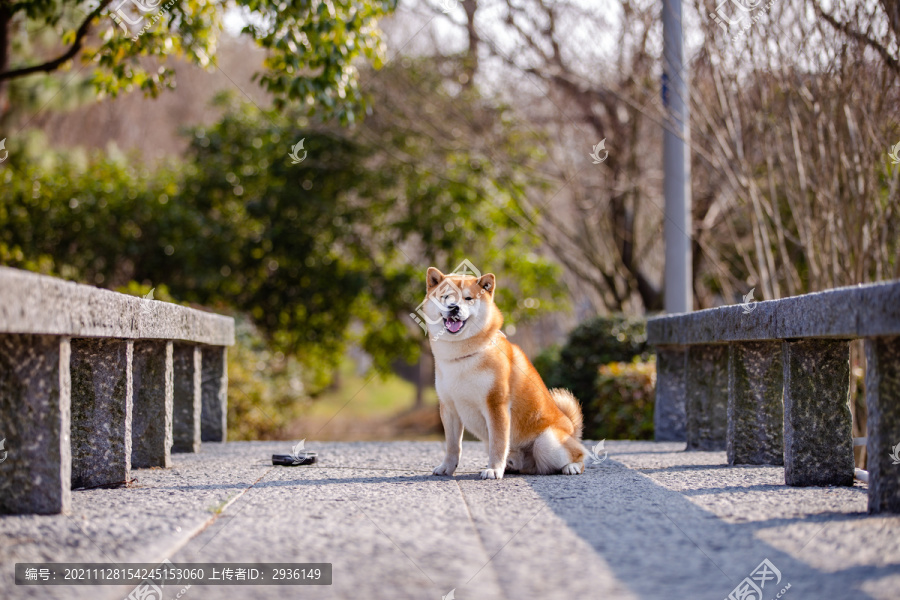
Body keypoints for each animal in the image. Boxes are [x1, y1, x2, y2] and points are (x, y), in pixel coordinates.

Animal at [424, 268, 588, 478]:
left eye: (468, 298)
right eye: (445, 297)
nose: (453, 307)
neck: (463, 356)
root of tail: (571, 429)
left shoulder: (496, 404)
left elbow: (498, 443)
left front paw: (494, 469)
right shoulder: (449, 407)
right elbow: (453, 446)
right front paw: (447, 467)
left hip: (547, 442)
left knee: (579, 454)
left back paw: (572, 466)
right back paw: (510, 467)